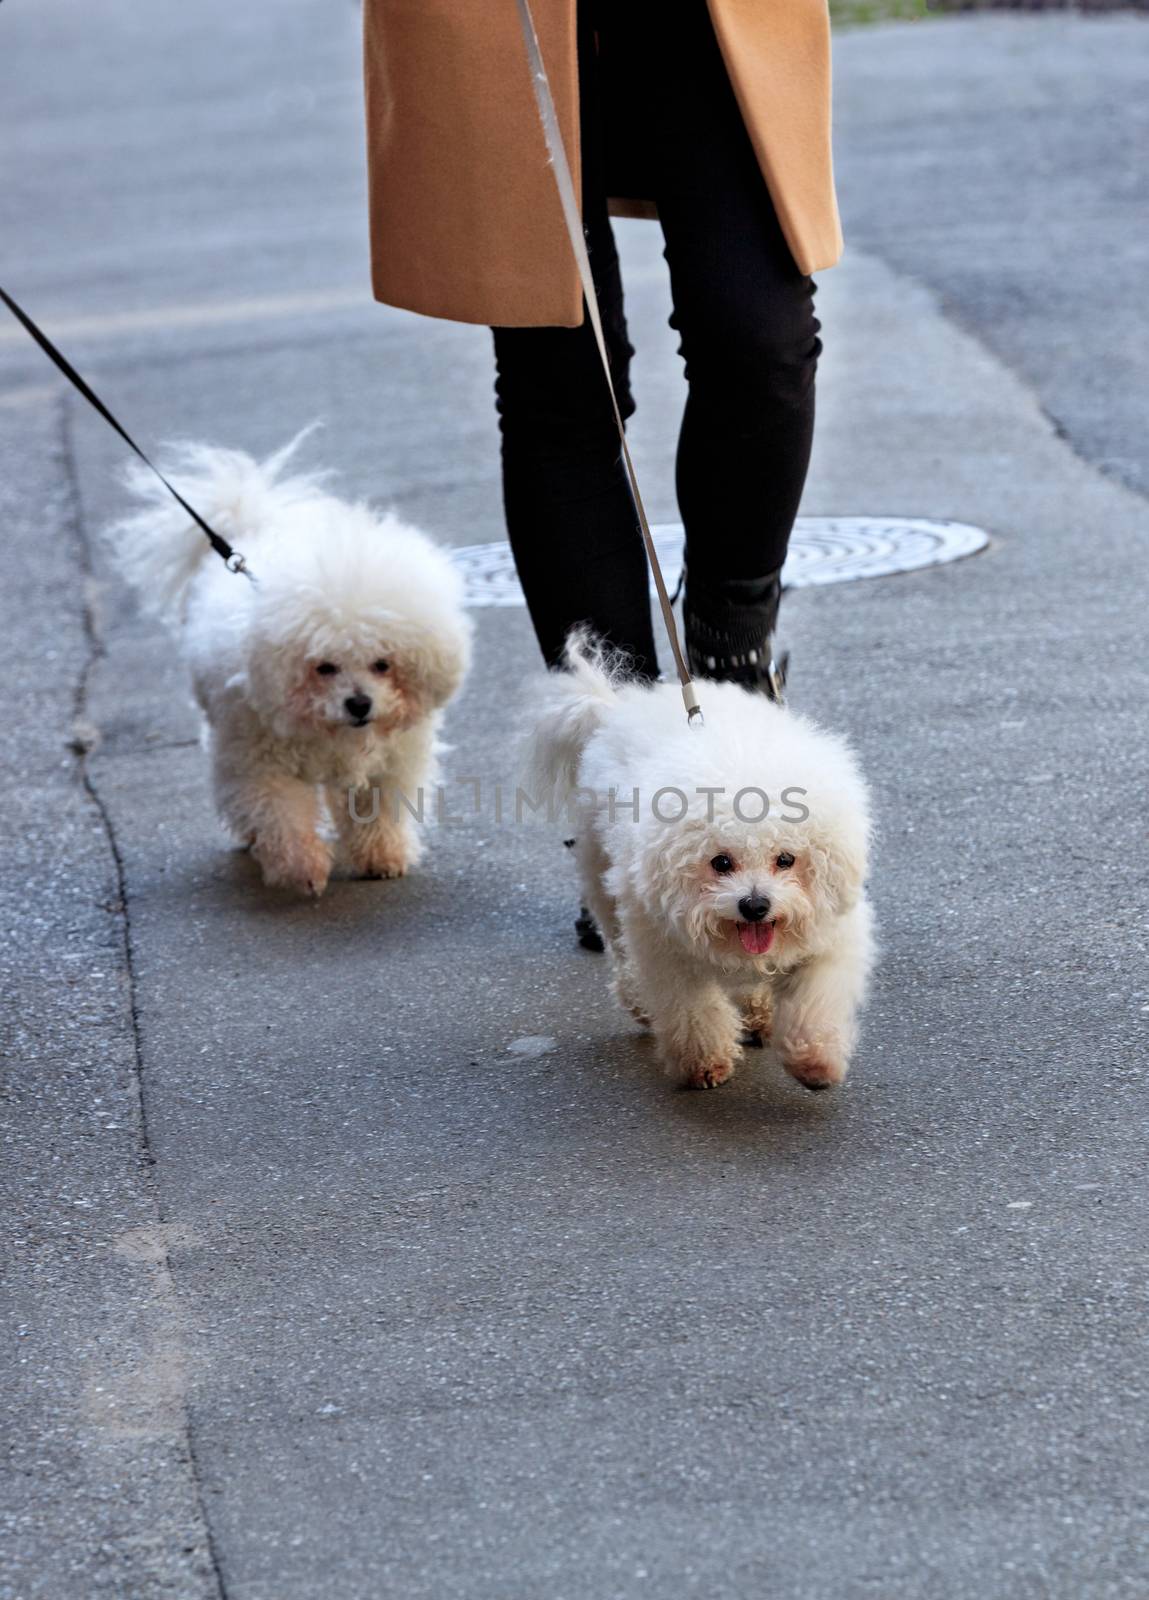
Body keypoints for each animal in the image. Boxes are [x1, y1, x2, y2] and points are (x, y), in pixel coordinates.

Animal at [104, 438, 473, 902]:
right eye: (324, 667)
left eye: (382, 664)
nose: (359, 704)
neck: (330, 731)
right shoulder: (263, 763)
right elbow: (280, 813)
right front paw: (302, 868)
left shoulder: (390, 761)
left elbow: (376, 809)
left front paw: (381, 856)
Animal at [528, 636, 876, 1088]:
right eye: (721, 863)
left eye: (786, 859)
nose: (755, 905)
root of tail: (617, 707)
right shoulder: (666, 949)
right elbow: (692, 1010)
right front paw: (704, 1061)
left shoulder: (829, 939)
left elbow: (815, 999)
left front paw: (814, 1059)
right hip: (606, 883)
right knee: (622, 951)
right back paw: (642, 1002)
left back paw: (759, 1012)